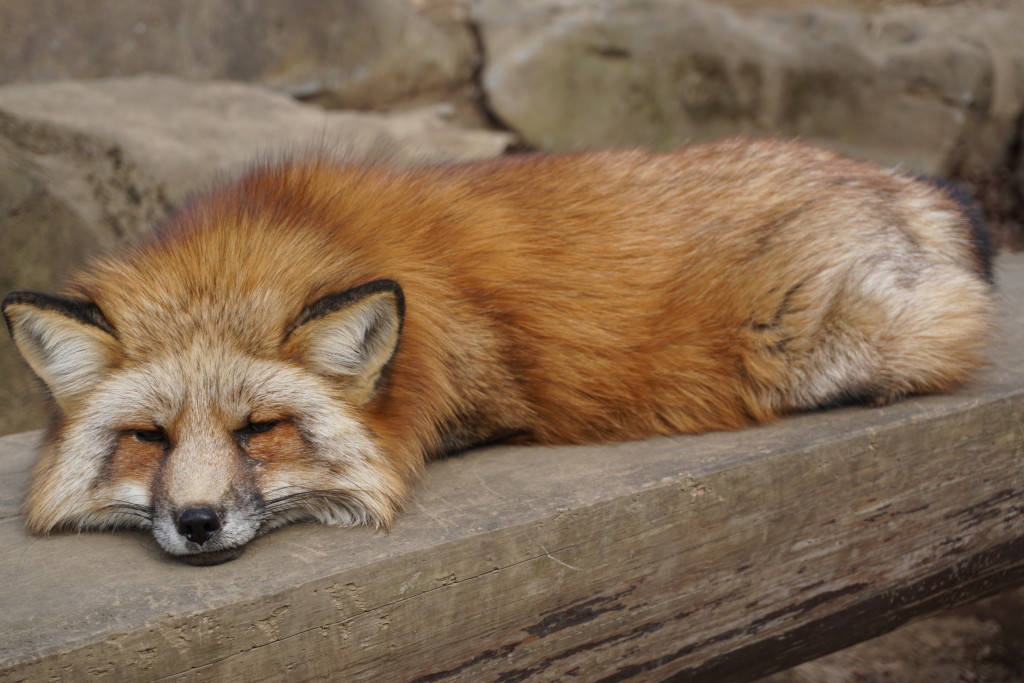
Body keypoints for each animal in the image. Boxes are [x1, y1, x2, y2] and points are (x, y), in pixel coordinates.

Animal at [0, 139, 991, 565]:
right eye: (148, 439)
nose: (198, 521)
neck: (298, 231)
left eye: (261, 429)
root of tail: (893, 175)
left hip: (821, 343)